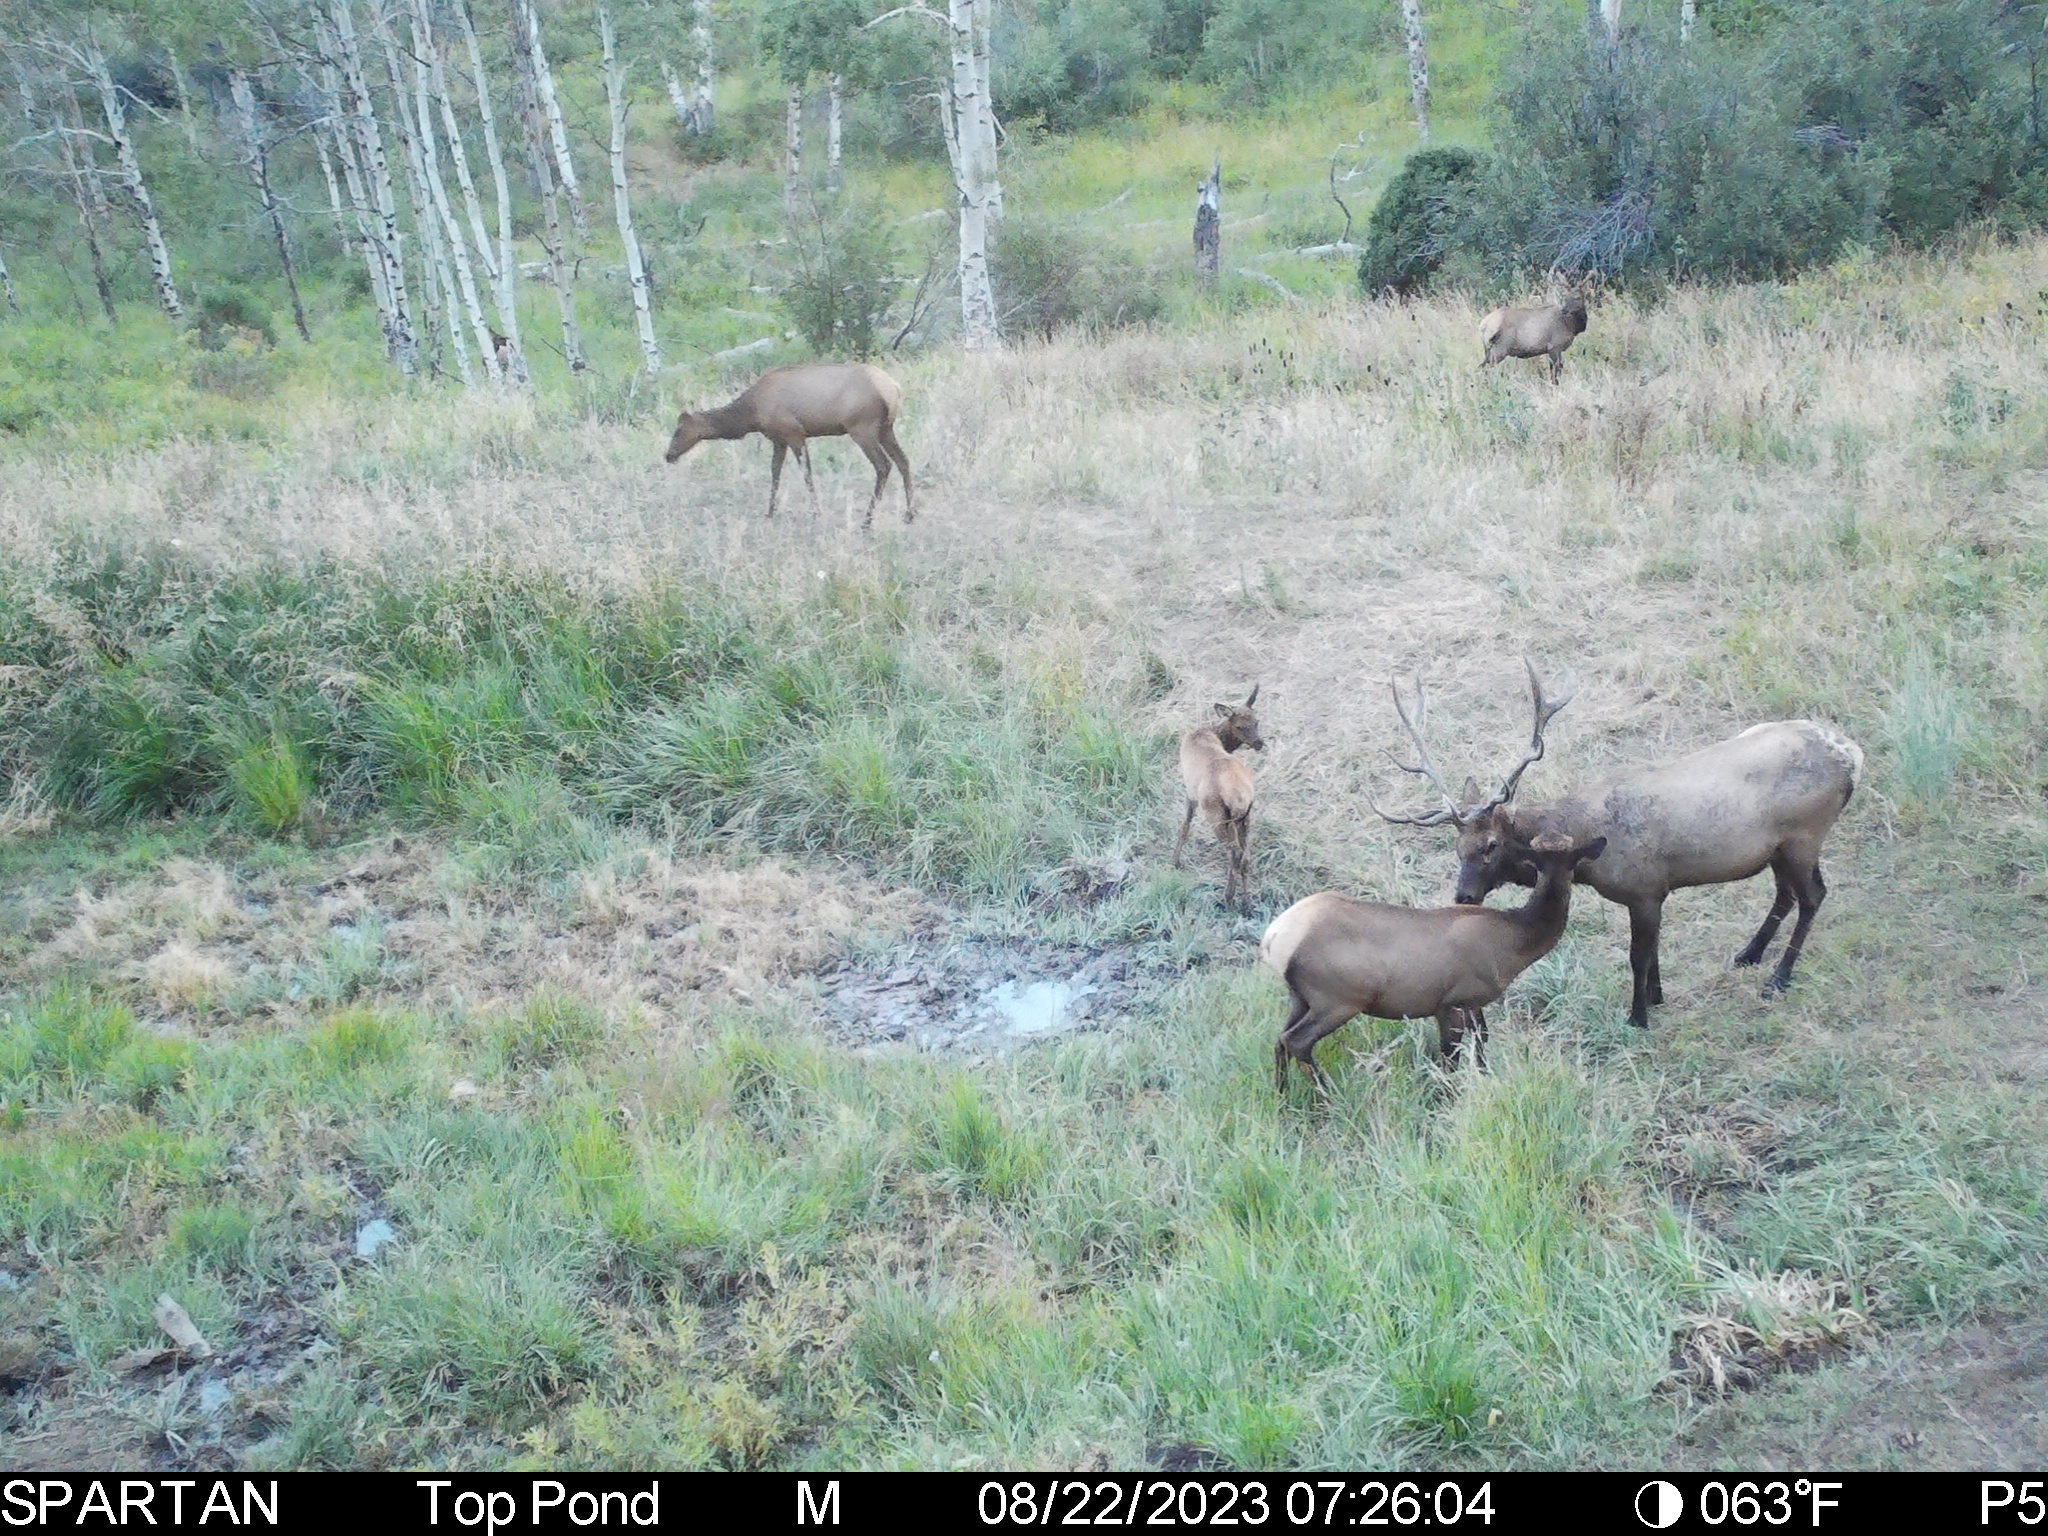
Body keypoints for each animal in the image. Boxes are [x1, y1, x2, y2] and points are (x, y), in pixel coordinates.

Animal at [664, 362, 913, 527]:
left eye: (678, 430)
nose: (668, 455)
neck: (751, 416)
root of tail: (894, 389)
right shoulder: (779, 440)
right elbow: (775, 472)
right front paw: (770, 512)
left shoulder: (795, 434)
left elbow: (806, 474)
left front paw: (816, 513)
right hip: (886, 429)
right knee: (904, 461)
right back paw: (909, 514)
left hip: (862, 428)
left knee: (883, 466)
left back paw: (867, 520)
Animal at [1173, 687, 1264, 909]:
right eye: (1240, 725)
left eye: (1256, 722)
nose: (1259, 743)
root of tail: (1240, 798)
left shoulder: (1190, 793)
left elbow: (1184, 827)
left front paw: (1175, 862)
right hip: (1244, 819)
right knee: (1246, 856)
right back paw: (1246, 903)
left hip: (1216, 817)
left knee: (1235, 854)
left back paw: (1228, 897)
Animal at [1261, 832, 1608, 1090]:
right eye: (1540, 863)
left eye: (1570, 861)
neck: (1515, 942)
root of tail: (1273, 938)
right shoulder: (1450, 1002)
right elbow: (1449, 1059)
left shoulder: (1472, 1002)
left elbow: (1481, 1044)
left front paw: (1482, 1081)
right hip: (1337, 998)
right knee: (1296, 1041)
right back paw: (1328, 1096)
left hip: (1300, 997)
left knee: (1279, 1041)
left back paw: (1282, 1097)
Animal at [1370, 660, 1863, 1030]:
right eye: (1458, 848)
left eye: (1491, 844)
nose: (1464, 895)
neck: (1591, 849)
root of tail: (1854, 757)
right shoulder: (1654, 892)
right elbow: (1654, 951)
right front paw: (1658, 997)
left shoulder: (1644, 889)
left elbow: (1638, 957)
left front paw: (1638, 1016)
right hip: (1778, 847)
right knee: (1786, 893)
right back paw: (1749, 954)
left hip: (1805, 834)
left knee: (1813, 895)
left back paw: (1779, 978)